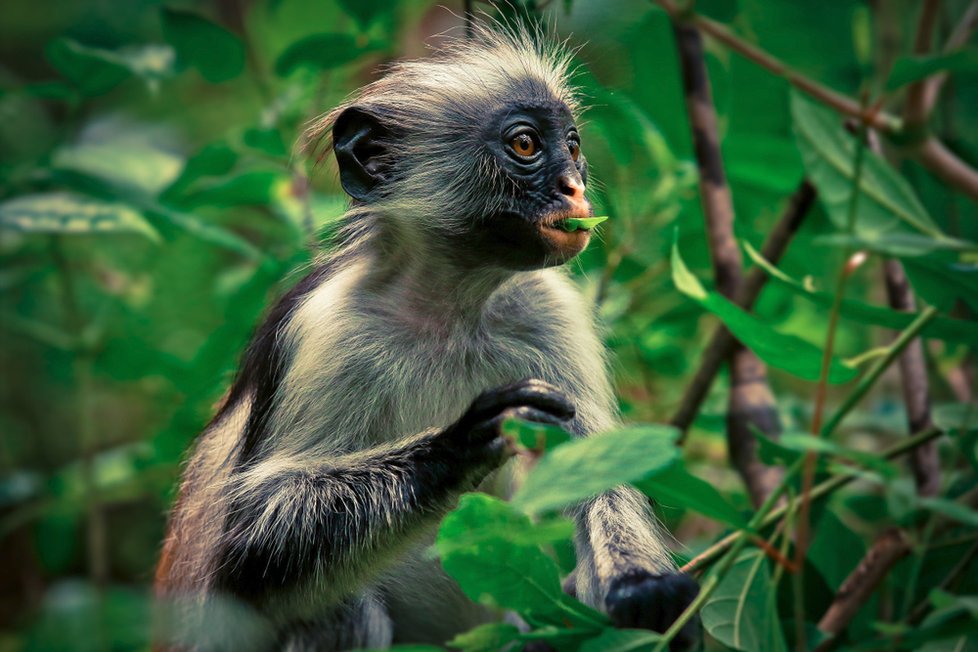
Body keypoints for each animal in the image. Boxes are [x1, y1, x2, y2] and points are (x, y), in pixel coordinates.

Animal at [156, 20, 696, 652]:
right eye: (525, 145)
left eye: (573, 145)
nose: (573, 186)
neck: (450, 308)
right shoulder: (323, 326)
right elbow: (244, 549)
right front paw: (467, 438)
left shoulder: (549, 309)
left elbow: (598, 469)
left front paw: (643, 588)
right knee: (338, 605)